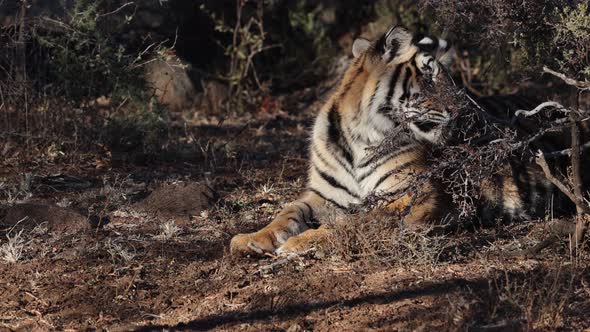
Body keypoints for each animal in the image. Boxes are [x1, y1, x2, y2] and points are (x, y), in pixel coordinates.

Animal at [231, 25, 588, 256]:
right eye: (430, 75)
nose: (464, 105)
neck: (357, 137)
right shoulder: (322, 196)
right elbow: (286, 213)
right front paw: (250, 239)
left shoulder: (410, 196)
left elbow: (354, 222)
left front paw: (300, 243)